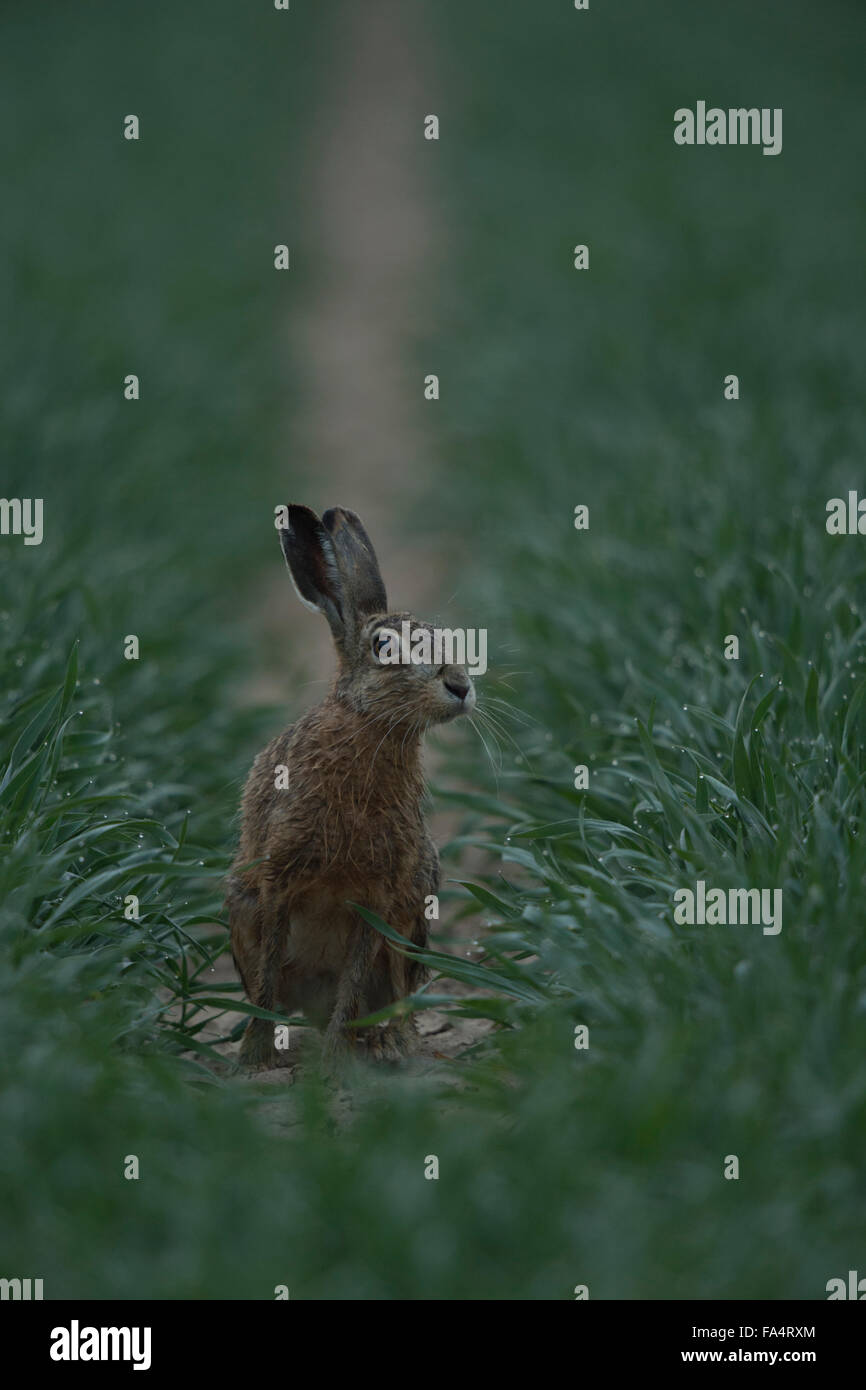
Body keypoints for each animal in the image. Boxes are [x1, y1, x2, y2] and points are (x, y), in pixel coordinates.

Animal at [226, 504, 476, 1068]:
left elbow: (357, 975)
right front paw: (255, 1056)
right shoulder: (277, 880)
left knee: (395, 989)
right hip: (241, 906)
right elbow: (269, 970)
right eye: (384, 646)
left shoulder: (379, 894)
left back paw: (390, 1044)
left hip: (414, 912)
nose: (461, 685)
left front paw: (333, 1059)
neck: (371, 725)